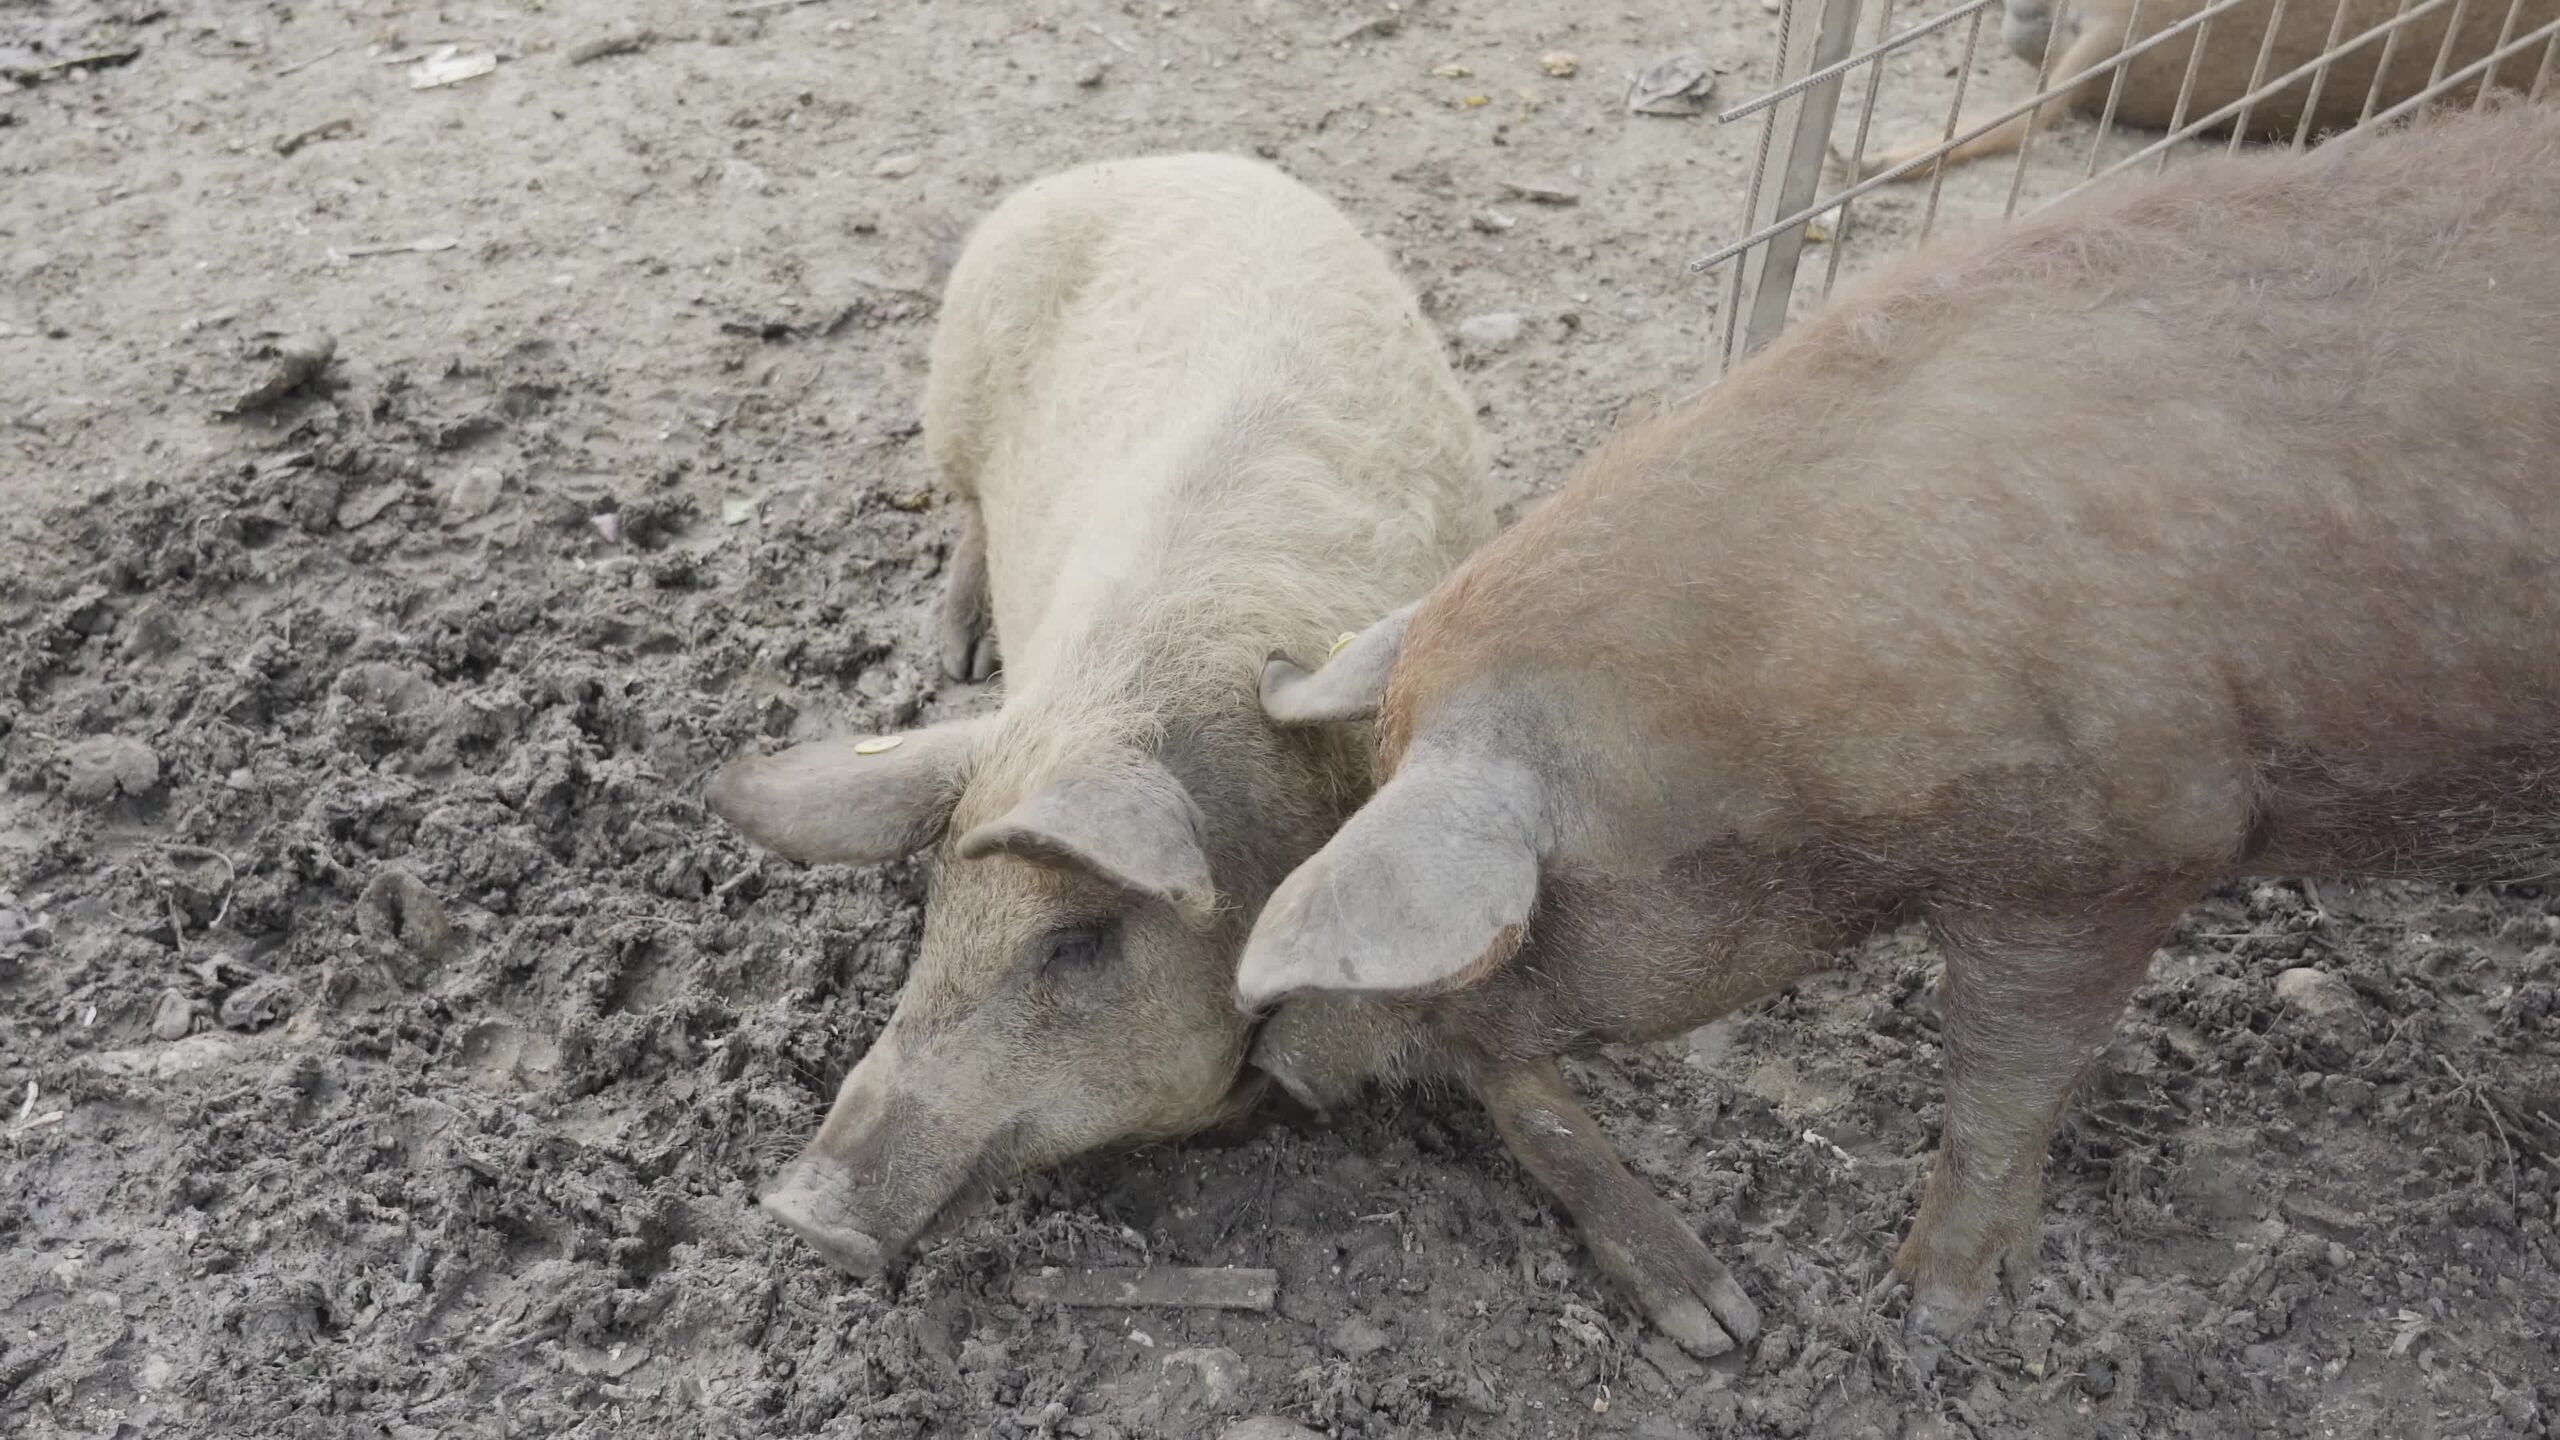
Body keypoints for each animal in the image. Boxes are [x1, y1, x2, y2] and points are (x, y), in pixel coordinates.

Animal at [707, 154, 1492, 1276]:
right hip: (948, 397)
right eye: (936, 910)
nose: (798, 1211)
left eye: (1079, 942)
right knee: (967, 510)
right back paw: (955, 652)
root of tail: (1152, 160)